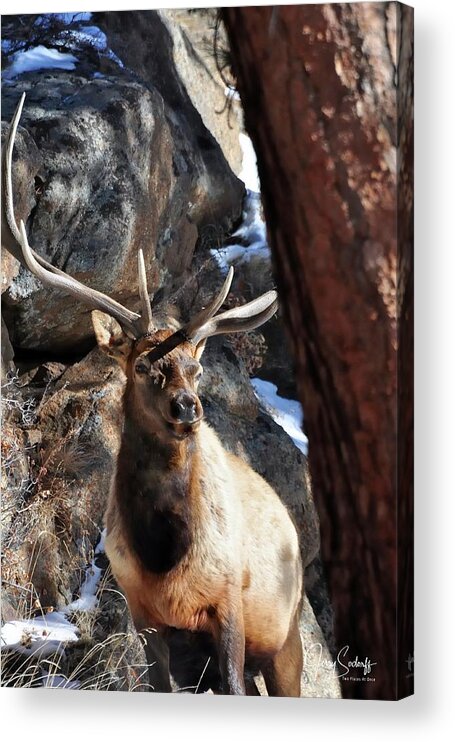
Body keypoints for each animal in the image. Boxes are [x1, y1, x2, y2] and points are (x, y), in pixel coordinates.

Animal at [3, 94, 304, 696]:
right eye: (144, 365)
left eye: (195, 366)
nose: (188, 407)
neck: (165, 561)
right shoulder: (145, 616)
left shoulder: (229, 603)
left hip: (287, 638)